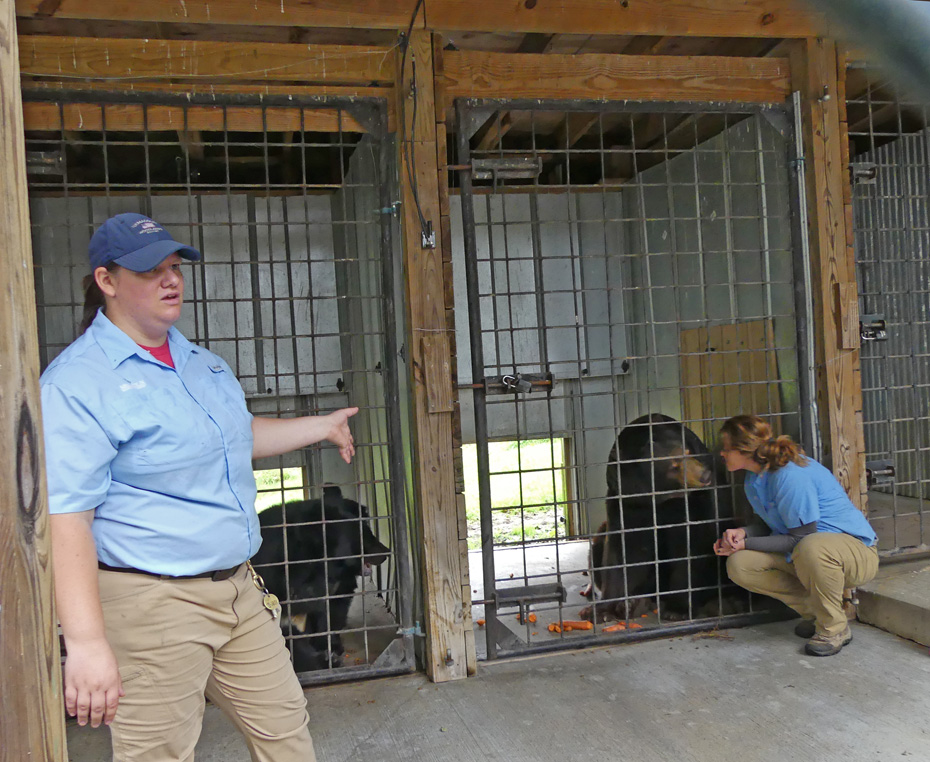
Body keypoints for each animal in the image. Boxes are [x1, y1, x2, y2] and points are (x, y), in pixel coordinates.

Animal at [250, 484, 388, 668]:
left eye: (366, 522)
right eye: (360, 529)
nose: (385, 553)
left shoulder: (338, 585)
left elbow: (329, 612)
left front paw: (331, 647)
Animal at [576, 412, 736, 620]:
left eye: (687, 451)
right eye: (673, 466)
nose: (705, 475)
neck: (663, 499)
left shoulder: (697, 504)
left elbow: (692, 548)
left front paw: (677, 609)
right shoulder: (628, 505)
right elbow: (624, 554)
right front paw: (601, 610)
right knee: (597, 546)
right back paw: (635, 604)